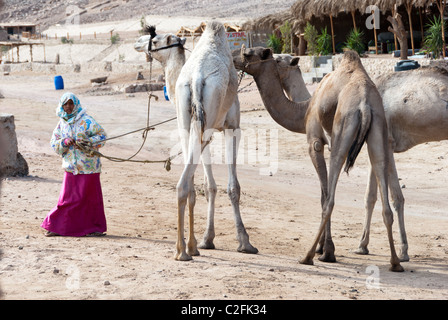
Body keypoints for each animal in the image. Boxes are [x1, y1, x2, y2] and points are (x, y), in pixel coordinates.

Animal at [233, 47, 404, 272]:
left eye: (249, 54)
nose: (233, 58)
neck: (305, 109)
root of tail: (365, 105)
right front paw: (323, 247)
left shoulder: (315, 143)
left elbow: (323, 194)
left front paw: (325, 250)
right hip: (378, 132)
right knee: (384, 195)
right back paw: (395, 262)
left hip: (342, 133)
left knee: (330, 200)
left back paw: (307, 256)